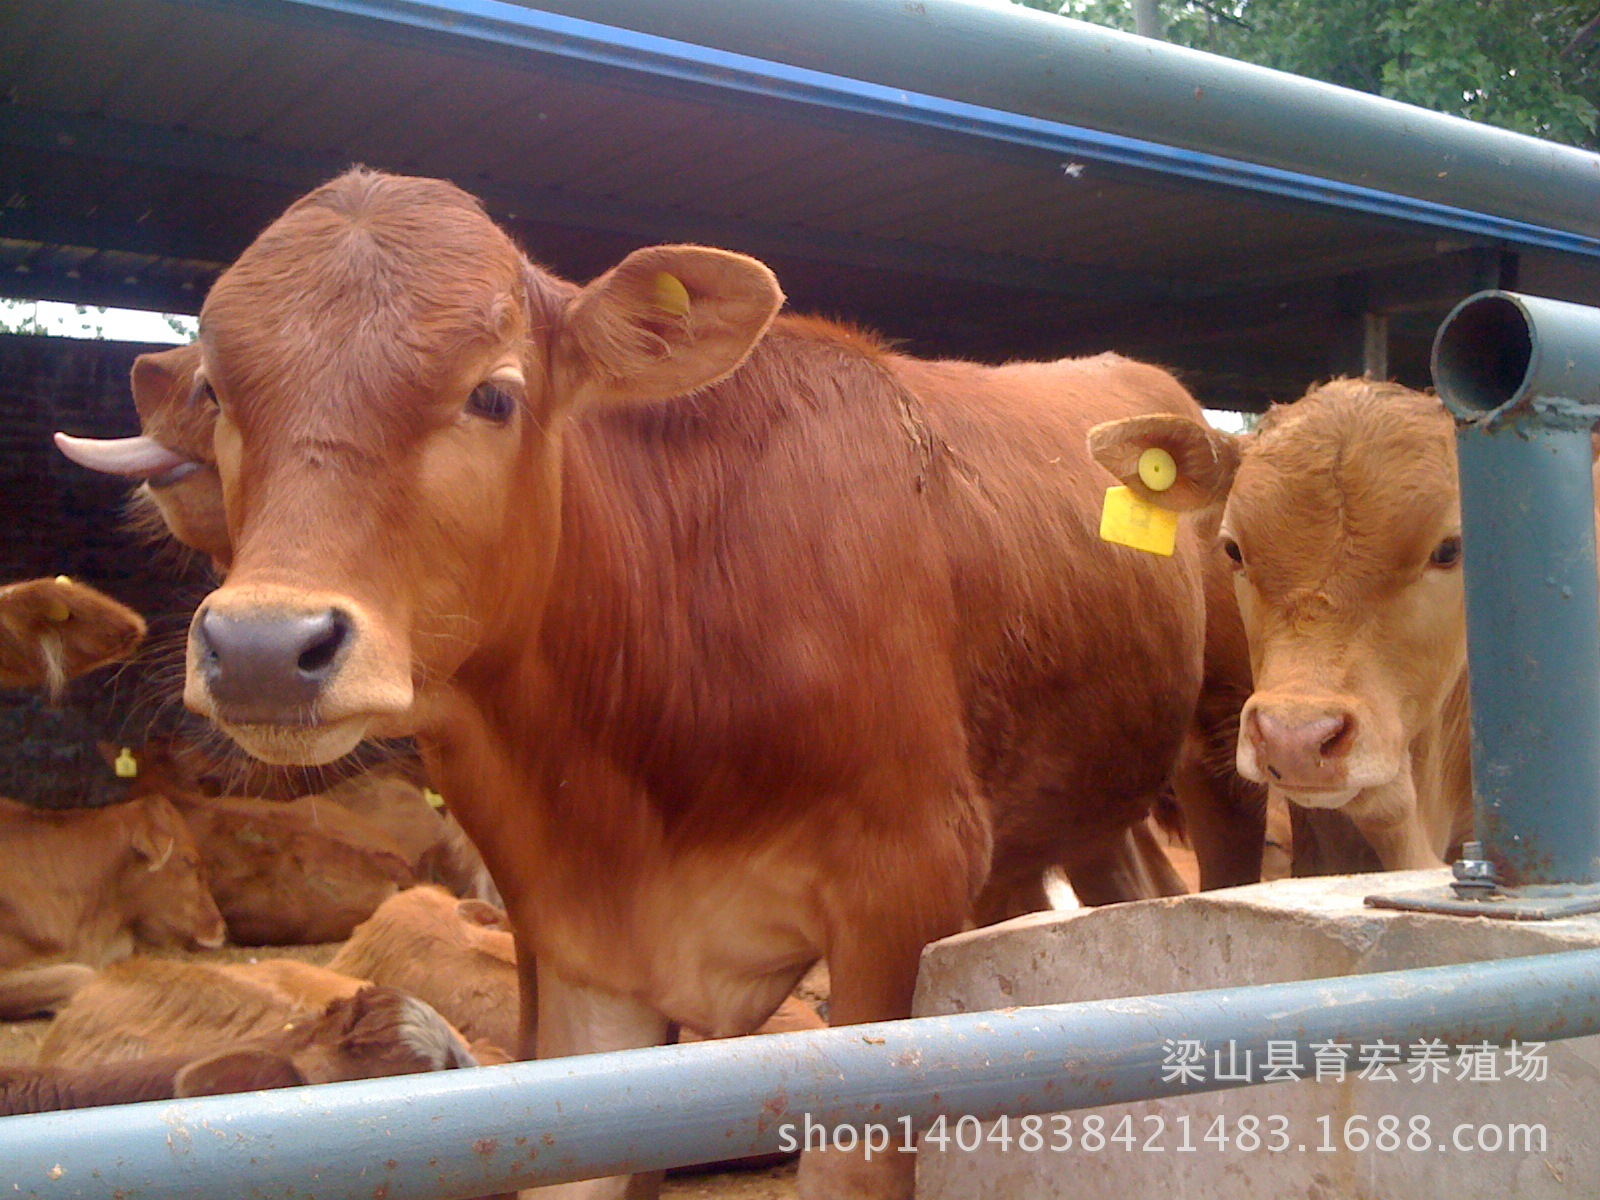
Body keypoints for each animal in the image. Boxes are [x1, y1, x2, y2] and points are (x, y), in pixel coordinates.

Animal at [65, 169, 1248, 1200]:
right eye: (217, 392)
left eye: (494, 394)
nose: (266, 646)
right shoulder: (580, 959)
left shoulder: (900, 891)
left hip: (1218, 749)